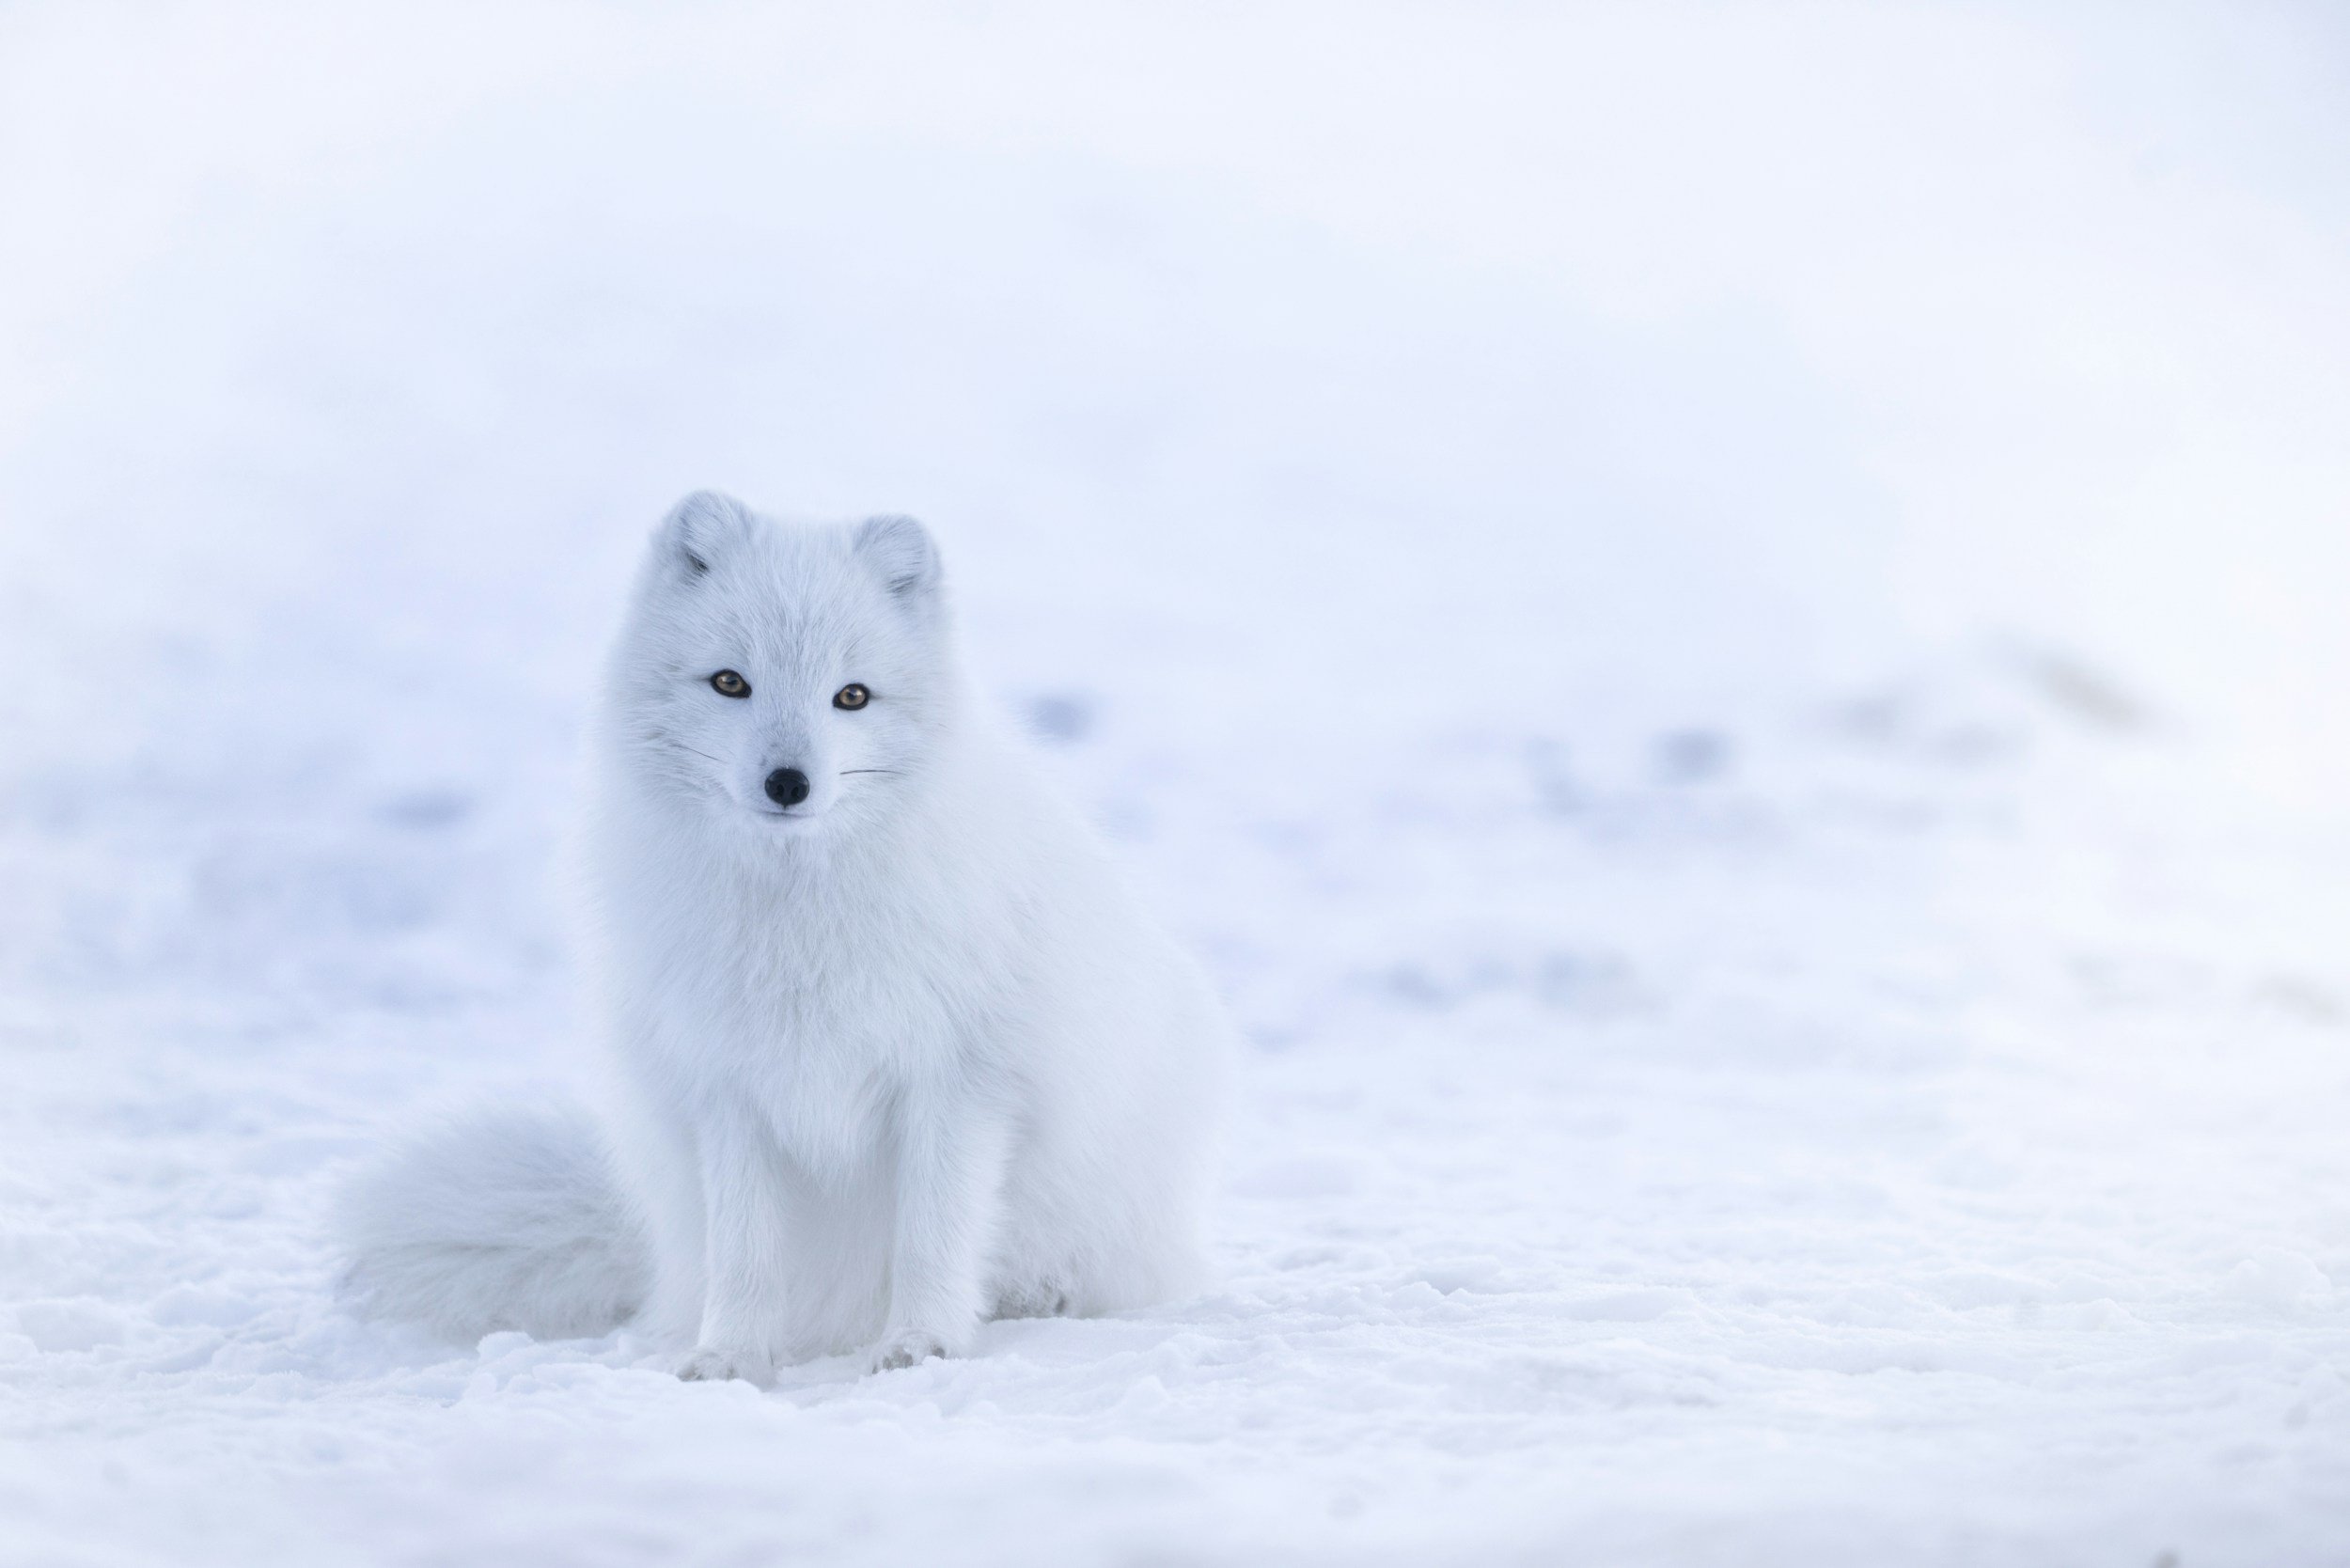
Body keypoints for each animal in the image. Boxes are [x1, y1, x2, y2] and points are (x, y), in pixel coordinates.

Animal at [339, 492, 1229, 1381]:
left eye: (853, 697)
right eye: (731, 682)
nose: (788, 783)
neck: (798, 918)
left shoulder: (959, 1081)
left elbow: (932, 1236)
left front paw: (921, 1342)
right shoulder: (728, 1088)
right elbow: (745, 1253)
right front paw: (731, 1357)